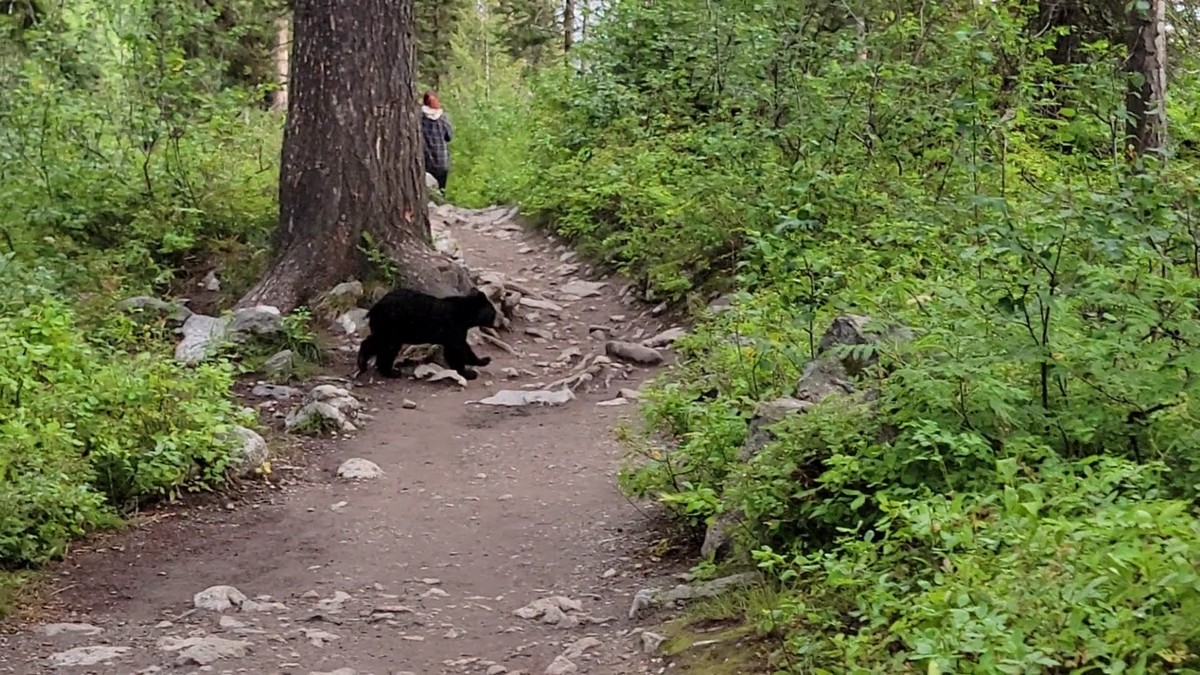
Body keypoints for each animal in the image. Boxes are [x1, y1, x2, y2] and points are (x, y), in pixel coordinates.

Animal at [355, 286, 498, 381]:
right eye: (493, 311)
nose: (495, 321)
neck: (465, 316)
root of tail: (375, 307)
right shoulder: (453, 328)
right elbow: (459, 349)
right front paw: (479, 364)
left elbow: (452, 352)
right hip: (391, 327)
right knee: (385, 347)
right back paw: (387, 371)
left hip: (387, 329)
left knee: (377, 344)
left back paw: (369, 365)